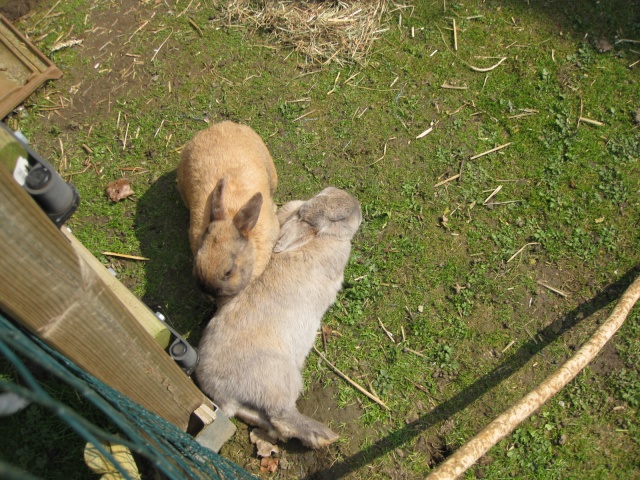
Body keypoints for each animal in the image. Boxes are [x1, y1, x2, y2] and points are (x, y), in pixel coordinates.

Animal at [195, 188, 362, 450]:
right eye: (340, 218)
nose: (359, 209)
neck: (318, 236)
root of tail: (223, 394)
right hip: (280, 380)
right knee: (282, 417)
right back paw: (323, 436)